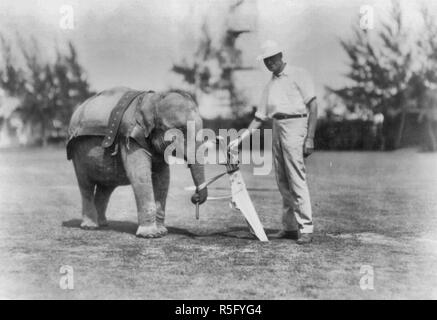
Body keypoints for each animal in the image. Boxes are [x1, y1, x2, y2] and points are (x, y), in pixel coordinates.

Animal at [65, 87, 207, 238]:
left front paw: (162, 232)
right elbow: (140, 176)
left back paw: (102, 224)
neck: (153, 100)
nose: (195, 197)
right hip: (77, 152)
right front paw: (150, 235)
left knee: (105, 187)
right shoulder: (130, 137)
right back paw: (90, 226)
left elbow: (163, 178)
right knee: (85, 184)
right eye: (181, 130)